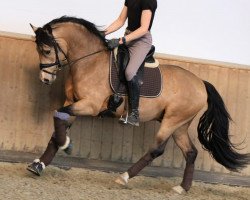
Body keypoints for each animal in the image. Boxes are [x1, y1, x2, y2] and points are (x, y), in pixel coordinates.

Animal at [27, 16, 248, 194]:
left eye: (46, 50)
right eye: (38, 50)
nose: (45, 79)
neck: (90, 63)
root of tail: (201, 83)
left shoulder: (89, 105)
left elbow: (58, 116)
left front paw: (66, 145)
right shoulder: (72, 102)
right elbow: (58, 124)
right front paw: (39, 164)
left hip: (172, 120)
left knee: (157, 150)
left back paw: (124, 177)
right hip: (180, 125)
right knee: (191, 152)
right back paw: (182, 188)